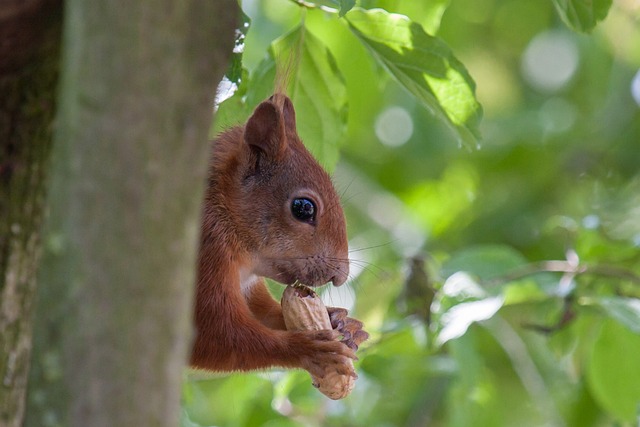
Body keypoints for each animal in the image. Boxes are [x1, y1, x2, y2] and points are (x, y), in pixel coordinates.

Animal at [190, 93, 368, 382]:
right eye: (303, 208)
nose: (340, 277)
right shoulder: (205, 252)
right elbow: (213, 335)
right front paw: (308, 349)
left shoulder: (249, 287)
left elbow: (268, 314)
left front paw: (342, 322)